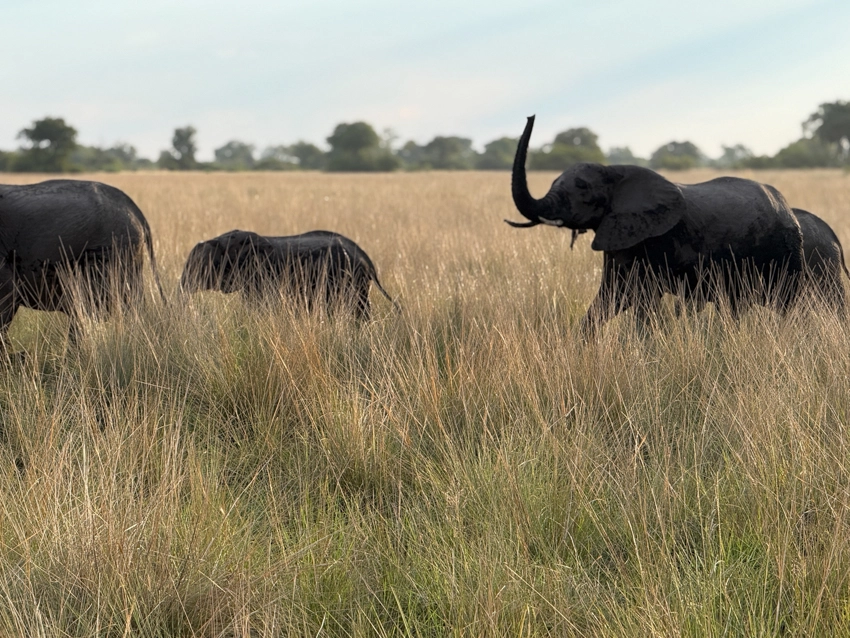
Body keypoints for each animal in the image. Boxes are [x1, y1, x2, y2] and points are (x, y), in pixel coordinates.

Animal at [506, 115, 805, 335]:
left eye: (582, 187)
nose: (531, 115)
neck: (614, 172)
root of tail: (785, 203)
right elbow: (611, 296)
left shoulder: (656, 240)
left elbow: (642, 299)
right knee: (735, 305)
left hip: (786, 250)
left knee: (783, 302)